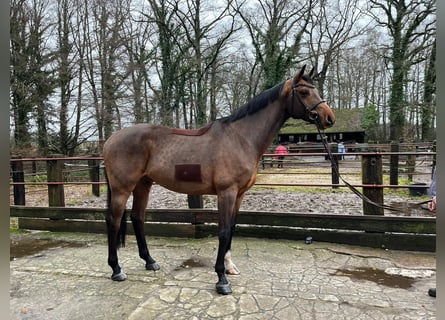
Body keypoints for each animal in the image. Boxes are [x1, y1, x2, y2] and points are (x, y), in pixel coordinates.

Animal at [102, 65, 334, 296]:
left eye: (315, 89)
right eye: (303, 92)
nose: (329, 118)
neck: (241, 138)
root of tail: (110, 140)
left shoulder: (239, 195)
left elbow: (231, 228)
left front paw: (229, 267)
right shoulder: (226, 192)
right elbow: (223, 231)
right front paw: (222, 279)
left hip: (143, 185)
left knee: (137, 218)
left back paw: (150, 261)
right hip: (122, 189)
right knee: (114, 221)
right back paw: (116, 270)